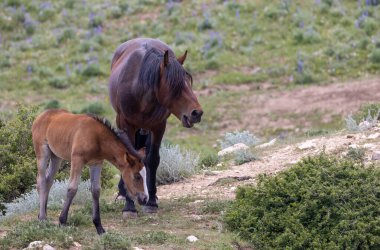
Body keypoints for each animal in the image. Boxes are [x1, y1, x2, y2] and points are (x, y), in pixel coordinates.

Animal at [108, 38, 203, 216]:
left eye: (189, 82)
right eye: (175, 86)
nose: (197, 113)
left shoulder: (158, 127)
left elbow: (152, 159)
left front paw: (151, 202)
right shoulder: (126, 125)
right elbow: (128, 158)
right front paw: (129, 206)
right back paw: (124, 193)